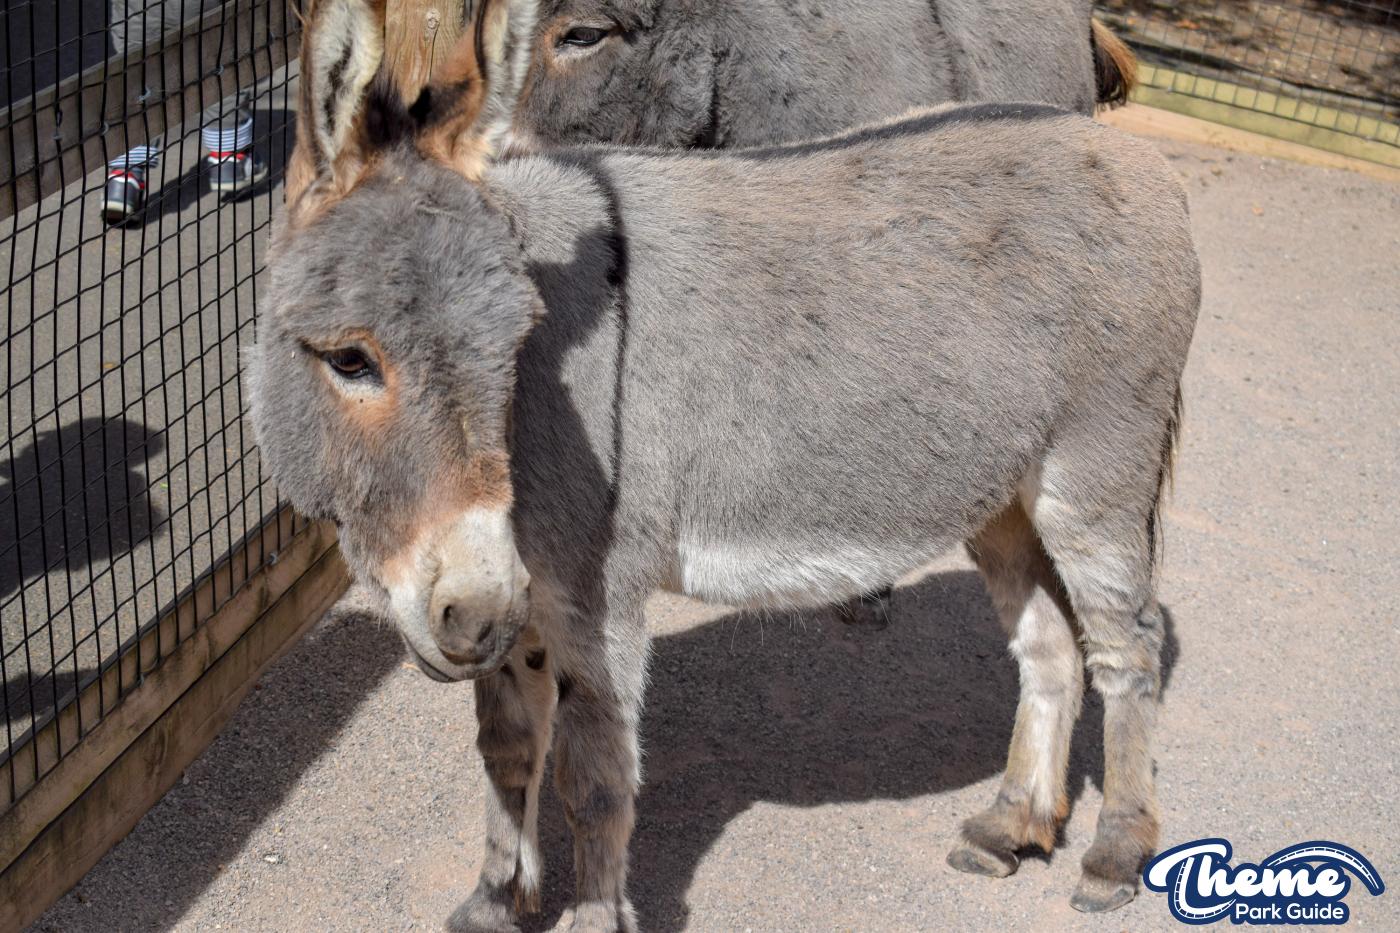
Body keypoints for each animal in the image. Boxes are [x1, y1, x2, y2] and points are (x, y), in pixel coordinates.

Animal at [247, 0, 1201, 928]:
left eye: (515, 346)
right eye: (350, 360)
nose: (471, 611)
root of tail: (1135, 157)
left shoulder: (598, 597)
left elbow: (594, 779)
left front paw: (592, 916)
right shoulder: (523, 600)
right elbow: (508, 750)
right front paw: (493, 903)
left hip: (1098, 470)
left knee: (1129, 645)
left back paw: (1114, 852)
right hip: (1000, 491)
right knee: (1050, 643)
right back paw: (1011, 824)